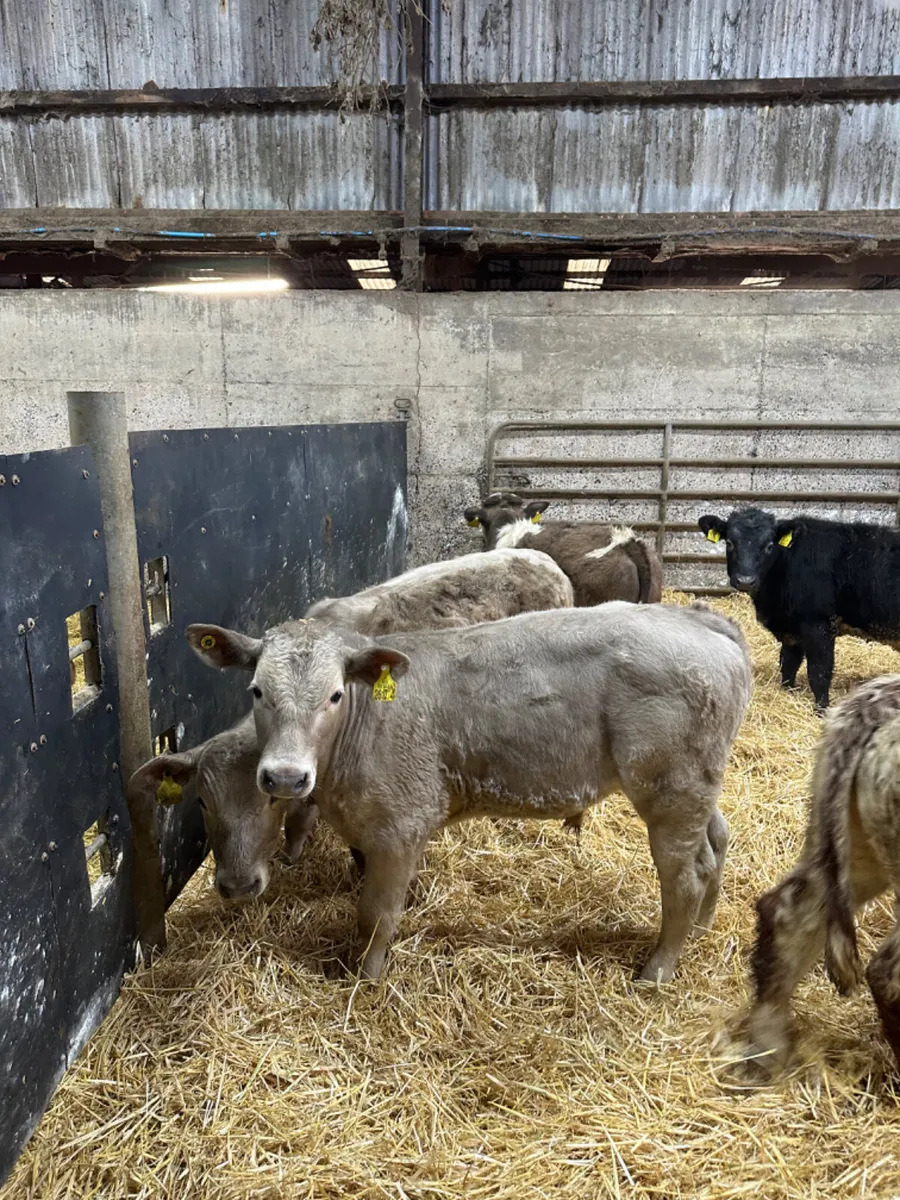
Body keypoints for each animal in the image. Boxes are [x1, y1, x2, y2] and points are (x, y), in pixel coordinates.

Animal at [186, 602, 751, 984]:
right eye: (257, 690)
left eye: (335, 694)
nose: (285, 777)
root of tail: (699, 620)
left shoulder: (401, 824)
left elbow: (376, 913)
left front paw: (365, 979)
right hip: (696, 784)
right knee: (716, 843)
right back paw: (702, 931)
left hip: (669, 789)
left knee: (685, 877)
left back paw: (657, 969)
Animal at [698, 507, 900, 711]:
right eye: (729, 543)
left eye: (769, 546)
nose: (745, 581)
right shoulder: (792, 630)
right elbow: (788, 664)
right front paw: (787, 692)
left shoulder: (819, 625)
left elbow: (819, 673)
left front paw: (822, 710)